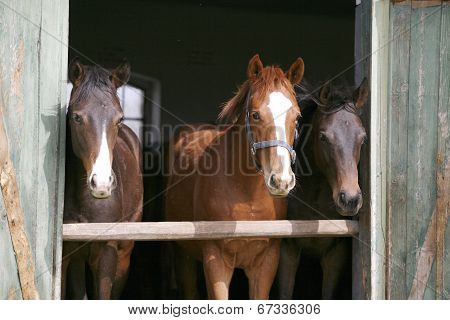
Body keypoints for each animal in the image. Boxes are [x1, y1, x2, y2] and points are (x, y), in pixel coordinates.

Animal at [62, 59, 142, 300]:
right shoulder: (67, 254)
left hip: (124, 253)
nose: (102, 184)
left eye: (120, 118)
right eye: (76, 117)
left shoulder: (107, 252)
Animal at [165, 54, 306, 300]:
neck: (248, 197)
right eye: (255, 115)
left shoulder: (267, 262)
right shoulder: (216, 260)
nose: (281, 180)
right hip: (183, 254)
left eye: (296, 117)